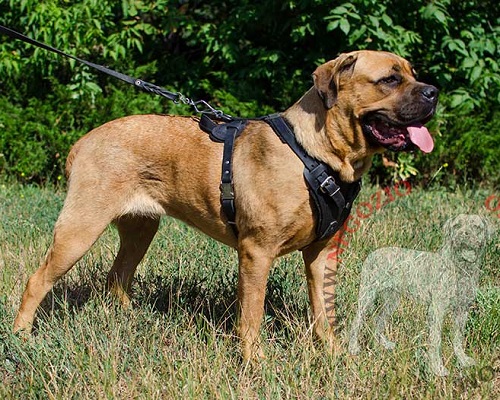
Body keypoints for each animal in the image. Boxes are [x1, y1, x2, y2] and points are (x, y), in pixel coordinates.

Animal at [12, 50, 438, 360]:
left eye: (413, 73)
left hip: (141, 228)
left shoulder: (322, 252)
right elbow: (250, 316)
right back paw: (21, 337)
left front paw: (334, 356)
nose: (433, 92)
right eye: (390, 79)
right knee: (37, 281)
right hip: (80, 227)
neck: (315, 154)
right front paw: (254, 363)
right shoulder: (256, 252)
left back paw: (129, 321)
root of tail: (82, 142)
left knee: (117, 277)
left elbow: (324, 311)